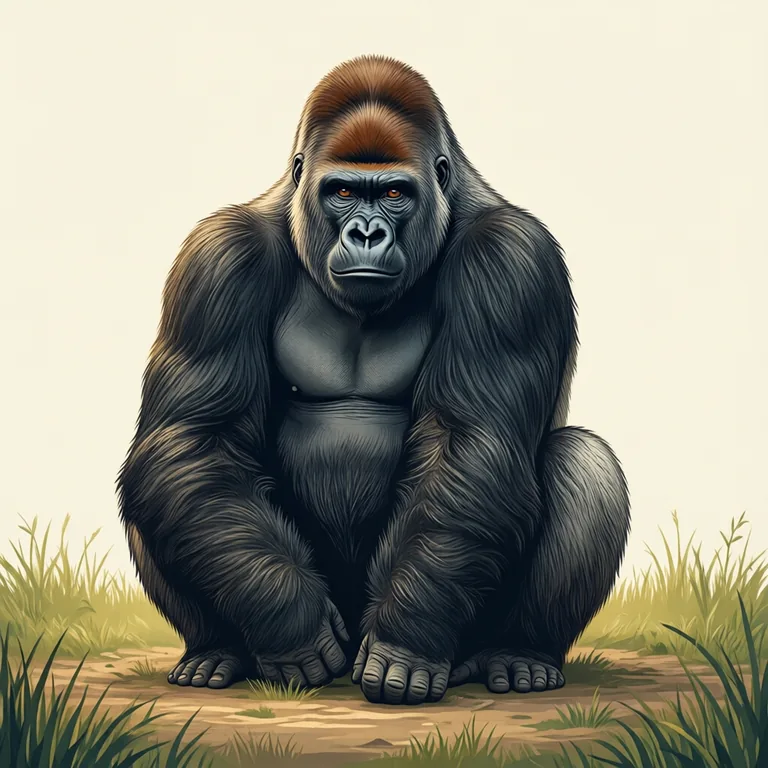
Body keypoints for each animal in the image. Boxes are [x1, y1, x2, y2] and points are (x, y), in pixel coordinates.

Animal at [117, 55, 630, 706]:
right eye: (341, 191)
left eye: (392, 193)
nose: (366, 233)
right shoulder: (217, 257)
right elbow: (193, 440)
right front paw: (288, 617)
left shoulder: (512, 258)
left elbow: (472, 443)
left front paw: (405, 640)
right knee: (168, 480)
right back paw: (218, 652)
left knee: (584, 461)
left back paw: (519, 654)